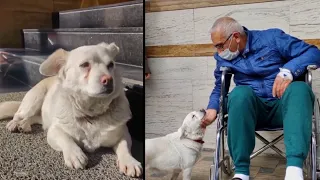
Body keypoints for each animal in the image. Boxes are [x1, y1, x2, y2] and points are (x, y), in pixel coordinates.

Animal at [0, 42, 142, 177]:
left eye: (111, 65)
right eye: (85, 65)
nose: (109, 80)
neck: (91, 111)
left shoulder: (123, 134)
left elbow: (124, 147)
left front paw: (129, 162)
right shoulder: (54, 131)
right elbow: (66, 138)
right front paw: (75, 154)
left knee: (35, 118)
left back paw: (24, 125)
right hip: (34, 99)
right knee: (19, 114)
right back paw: (15, 123)